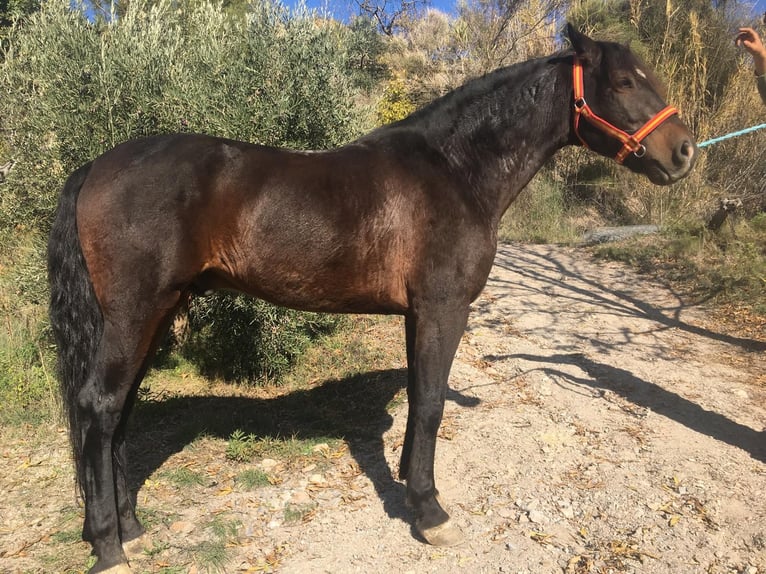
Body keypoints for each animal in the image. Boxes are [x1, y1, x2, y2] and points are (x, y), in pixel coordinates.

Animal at [47, 24, 696, 573]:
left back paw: (131, 529)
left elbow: (418, 397)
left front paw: (411, 487)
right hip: (135, 313)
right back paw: (109, 547)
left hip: (156, 314)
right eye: (624, 82)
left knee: (120, 411)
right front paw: (431, 512)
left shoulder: (417, 314)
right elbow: (430, 401)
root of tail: (95, 166)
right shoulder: (442, 308)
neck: (455, 169)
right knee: (98, 407)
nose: (685, 152)